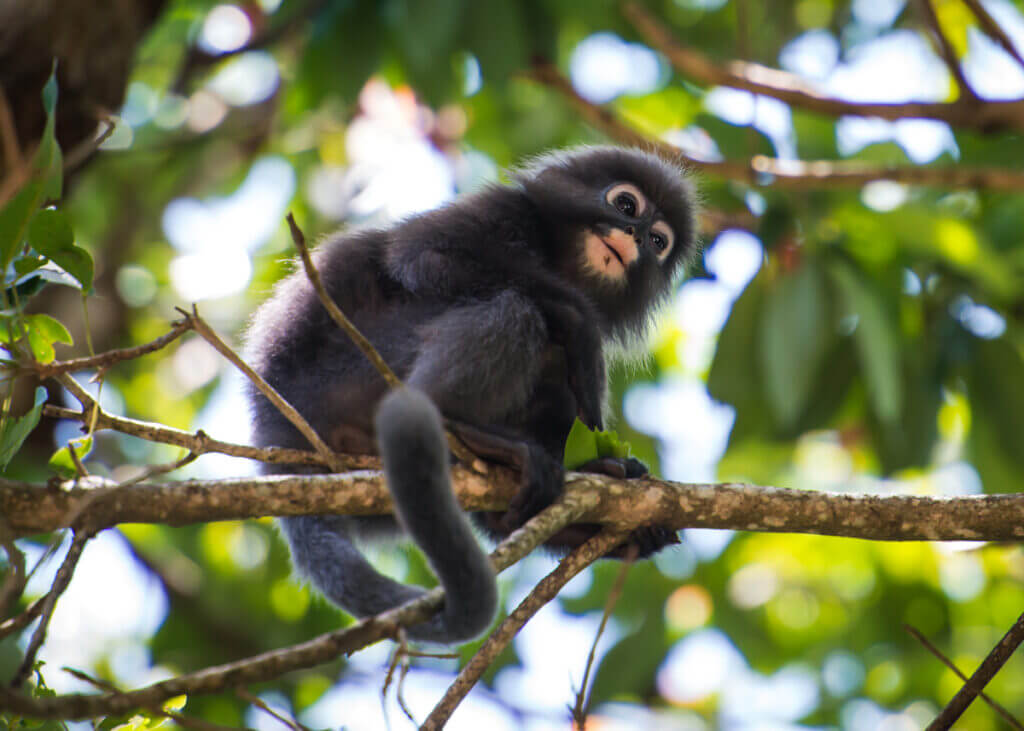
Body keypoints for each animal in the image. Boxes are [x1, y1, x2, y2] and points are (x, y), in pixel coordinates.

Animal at [245, 146, 698, 643]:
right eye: (627, 205)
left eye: (657, 241)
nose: (634, 236)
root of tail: (277, 433)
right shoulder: (501, 209)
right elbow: (422, 255)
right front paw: (582, 325)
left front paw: (615, 477)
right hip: (354, 366)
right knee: (516, 309)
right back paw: (462, 424)